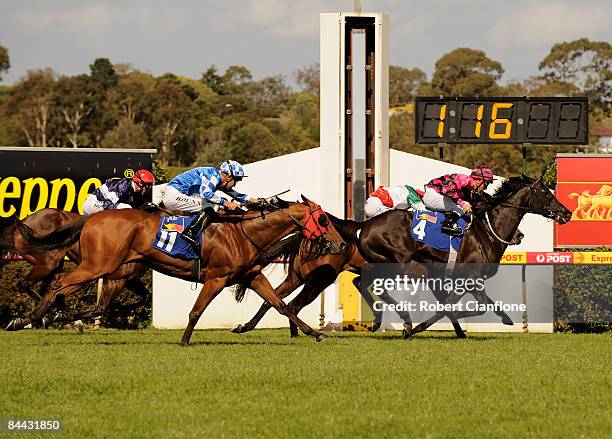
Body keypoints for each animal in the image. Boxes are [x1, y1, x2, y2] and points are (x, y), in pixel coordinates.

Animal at [16, 198, 346, 346]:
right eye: (324, 220)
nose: (342, 243)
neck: (242, 232)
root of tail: (92, 218)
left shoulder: (251, 276)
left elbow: (280, 305)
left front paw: (315, 333)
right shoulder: (216, 278)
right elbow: (196, 311)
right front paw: (185, 340)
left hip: (113, 271)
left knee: (89, 300)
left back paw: (52, 317)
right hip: (98, 265)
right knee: (58, 283)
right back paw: (32, 318)